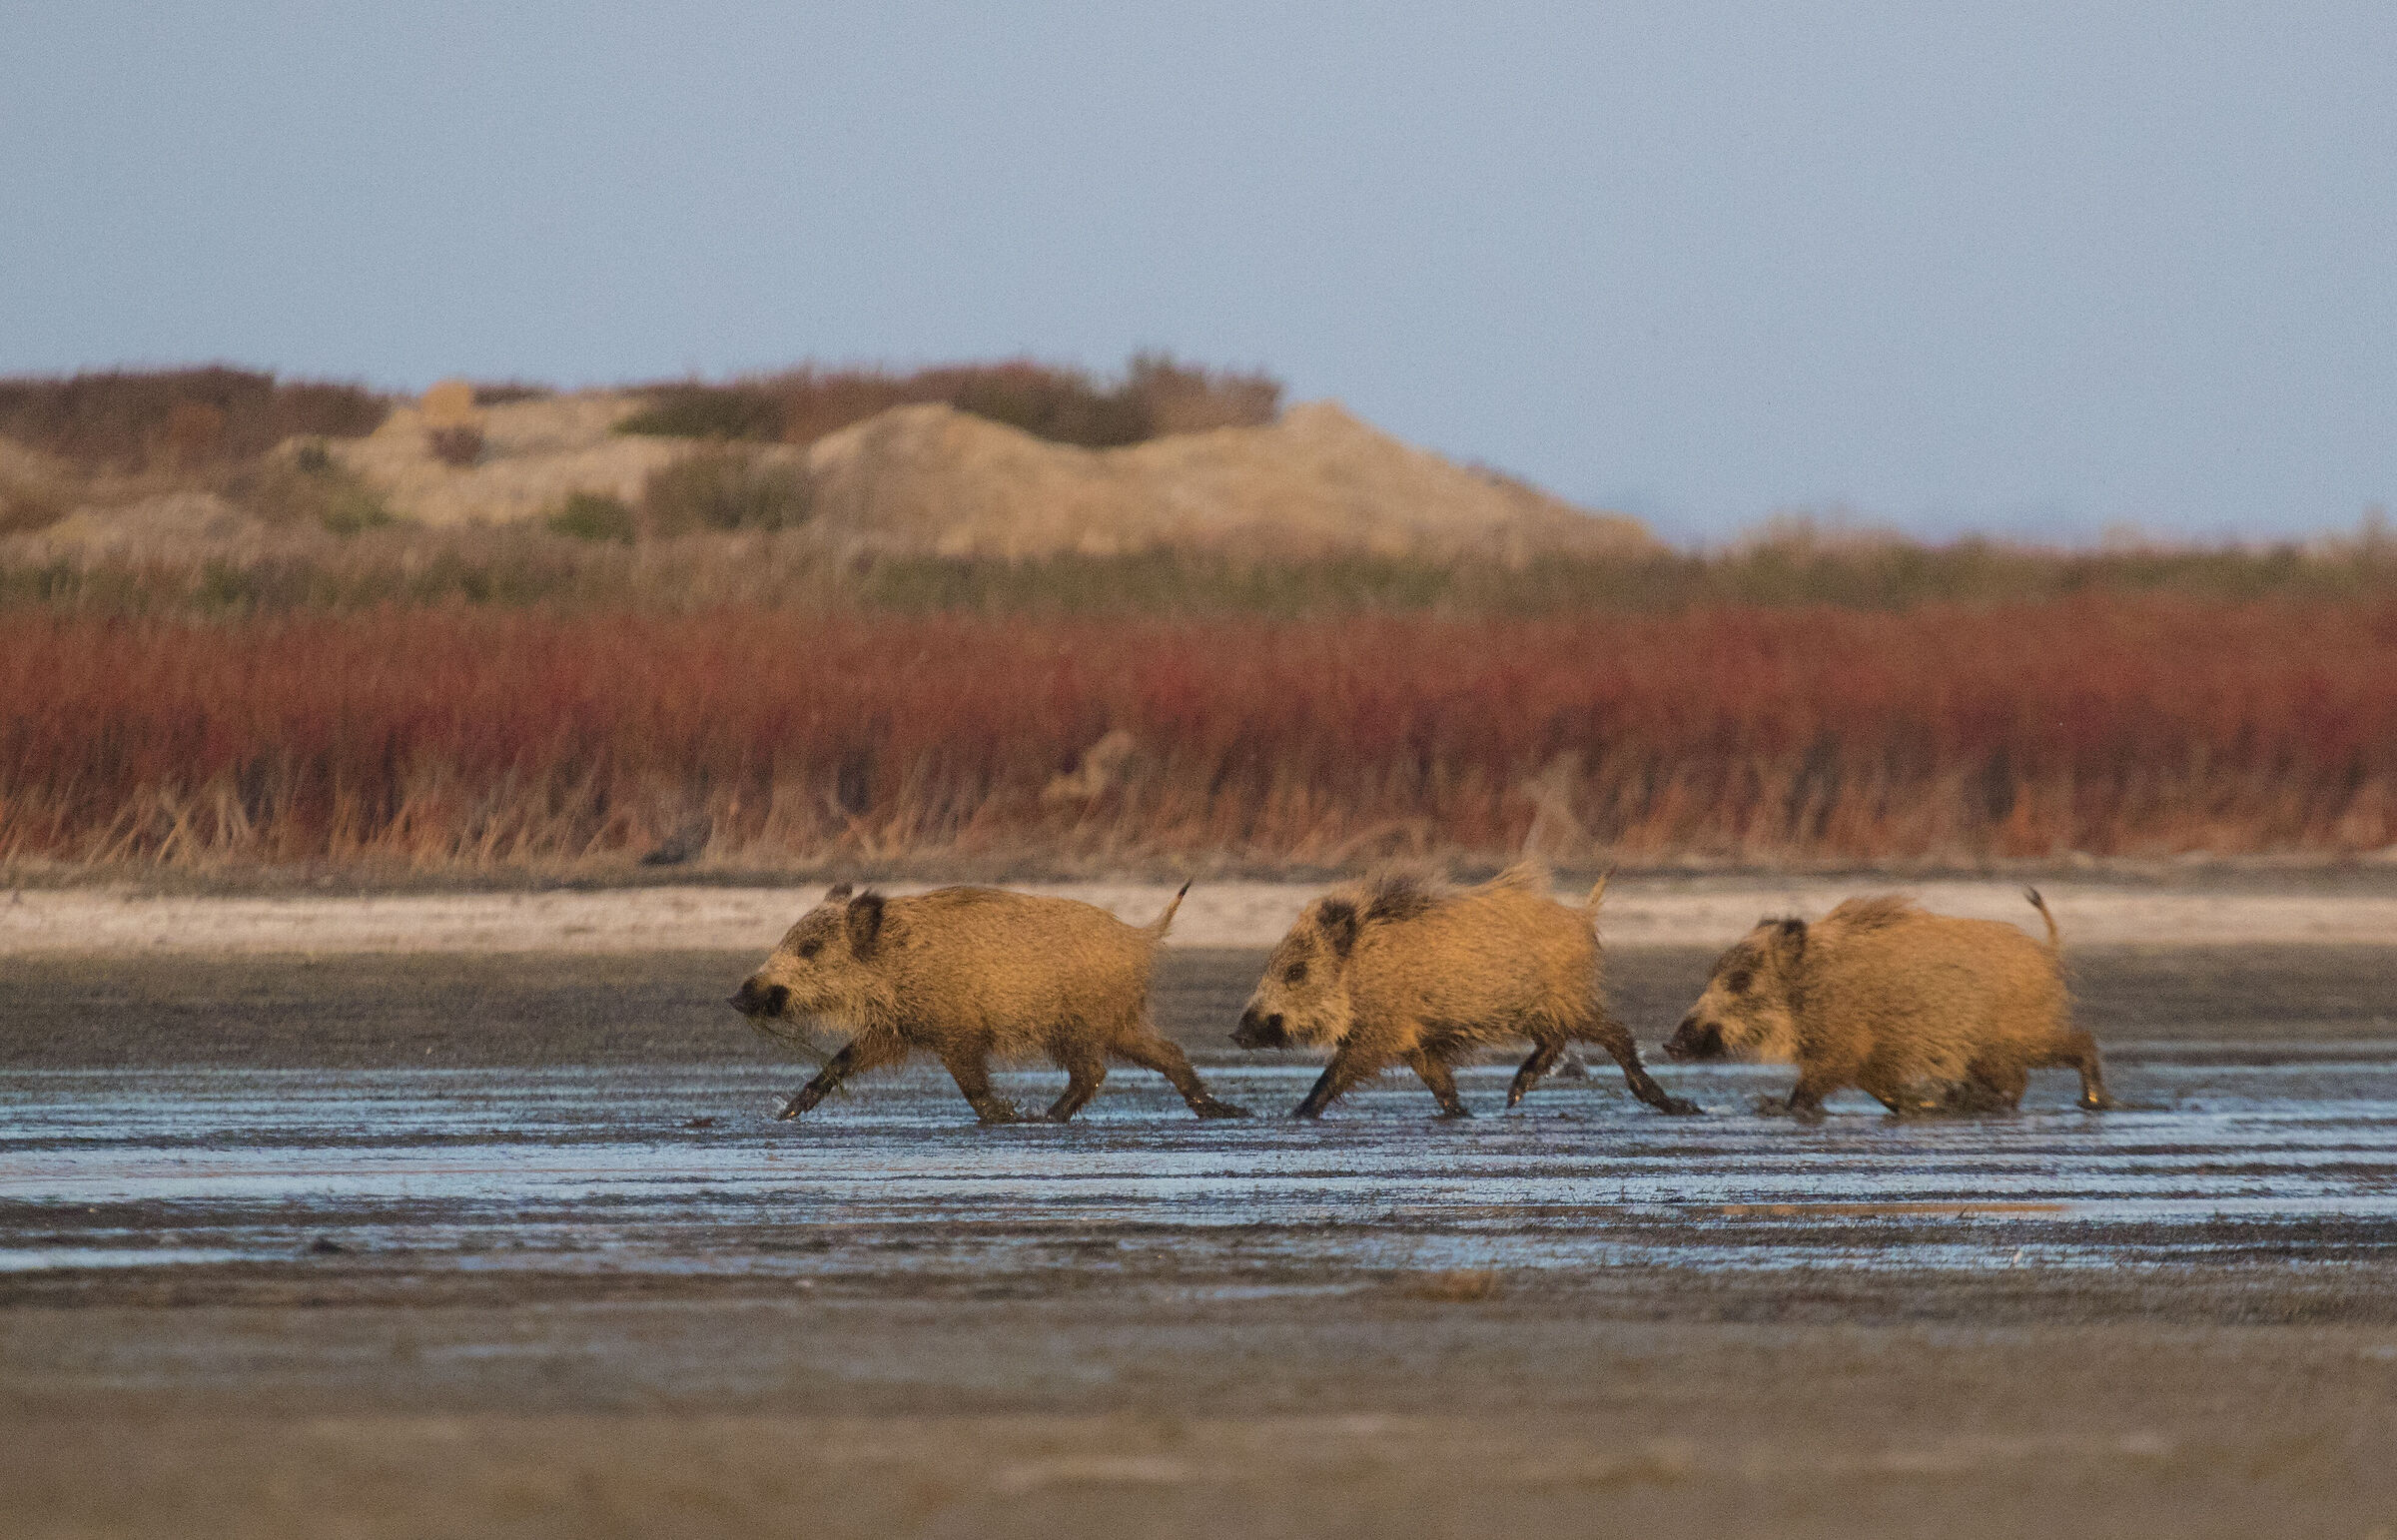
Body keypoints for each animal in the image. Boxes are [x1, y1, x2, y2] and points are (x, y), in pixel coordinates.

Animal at [729, 881, 1250, 1124]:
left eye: (809, 948)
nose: (736, 997)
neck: (896, 962)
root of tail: (1143, 936)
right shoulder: (892, 1031)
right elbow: (838, 1062)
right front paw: (783, 1114)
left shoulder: (956, 1029)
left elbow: (972, 1084)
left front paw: (1006, 1116)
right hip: (1117, 1022)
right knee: (1167, 1054)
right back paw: (1222, 1111)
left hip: (1077, 1024)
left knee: (1093, 1071)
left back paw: (1043, 1118)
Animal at [1231, 863, 1698, 1119]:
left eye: (1296, 970)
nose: (1237, 1034)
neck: (1359, 970)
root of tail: (1584, 916)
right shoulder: (1414, 1039)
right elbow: (1440, 1082)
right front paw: (1463, 1114)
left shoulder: (1380, 1032)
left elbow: (1334, 1074)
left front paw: (1295, 1115)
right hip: (1542, 1008)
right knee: (1557, 1040)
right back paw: (1512, 1096)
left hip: (1568, 999)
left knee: (1614, 1034)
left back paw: (1672, 1104)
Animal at [1663, 888, 2115, 1119]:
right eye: (1712, 975)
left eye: (1740, 980)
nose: (1671, 1044)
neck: (1810, 989)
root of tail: (2047, 952)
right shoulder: (1872, 1057)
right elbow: (1881, 1090)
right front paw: (1919, 1103)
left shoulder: (1845, 1045)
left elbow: (1811, 1087)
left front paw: (1773, 1107)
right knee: (2021, 1078)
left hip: (2011, 1036)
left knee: (2066, 1050)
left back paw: (2091, 1103)